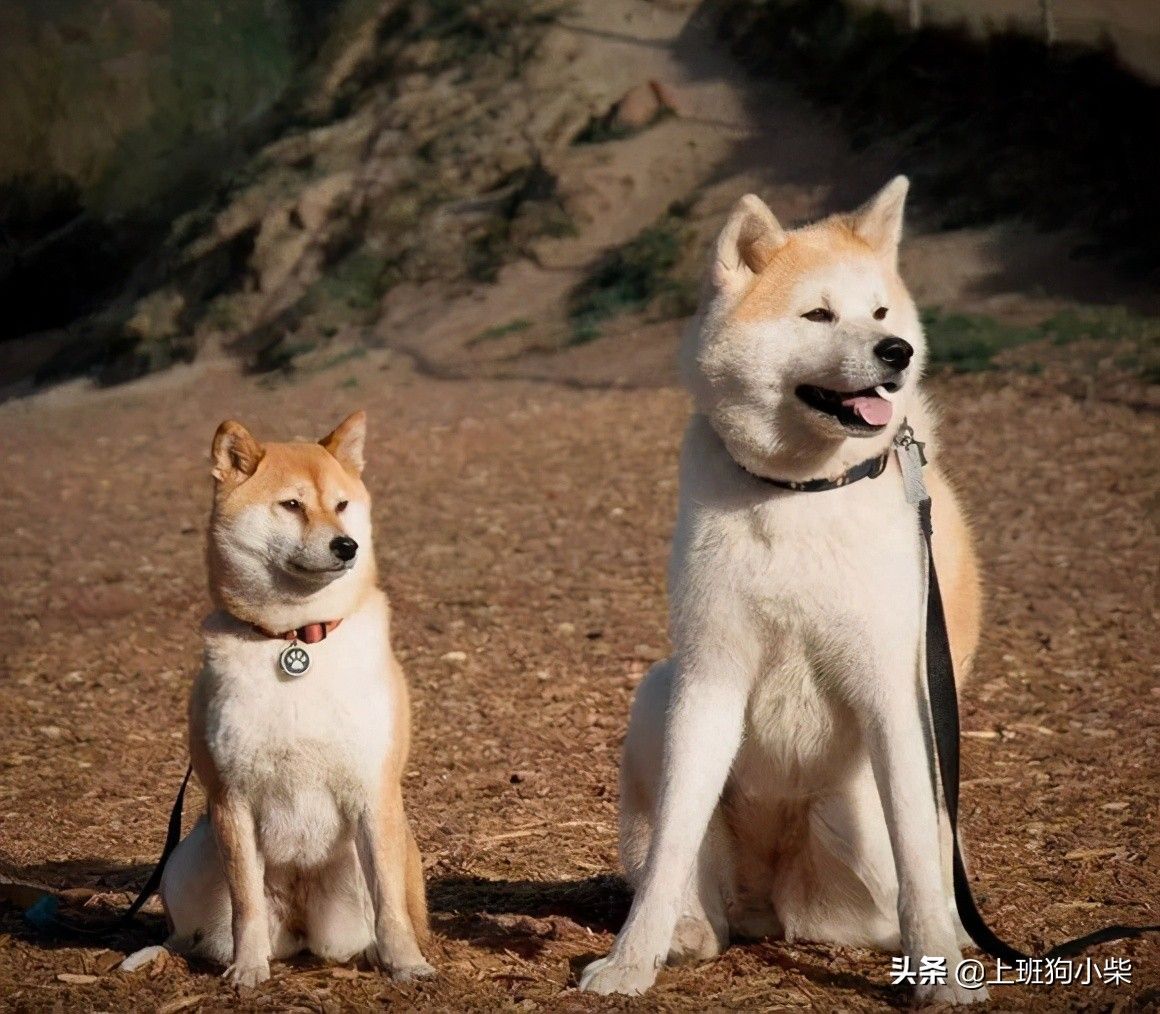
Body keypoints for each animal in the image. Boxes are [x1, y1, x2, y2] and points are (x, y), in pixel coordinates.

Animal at [161, 408, 433, 979]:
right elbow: (245, 904)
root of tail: (303, 928)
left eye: (342, 505)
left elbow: (390, 907)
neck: (297, 639)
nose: (346, 545)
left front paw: (406, 965)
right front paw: (247, 971)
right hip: (188, 858)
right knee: (193, 930)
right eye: (291, 505)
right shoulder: (231, 799)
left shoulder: (374, 791)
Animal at [584, 177, 983, 997]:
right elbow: (671, 846)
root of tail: (771, 900)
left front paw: (942, 972)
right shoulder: (710, 676)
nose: (895, 353)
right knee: (690, 889)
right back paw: (685, 934)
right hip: (658, 694)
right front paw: (630, 962)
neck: (801, 491)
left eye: (881, 313)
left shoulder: (895, 691)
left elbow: (921, 858)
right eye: (819, 315)